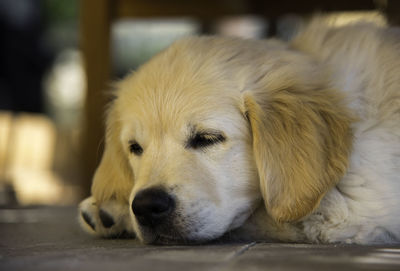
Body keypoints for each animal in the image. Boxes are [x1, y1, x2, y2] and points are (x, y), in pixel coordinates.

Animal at [79, 18, 400, 245]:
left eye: (207, 138)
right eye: (135, 147)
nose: (146, 206)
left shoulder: (355, 211)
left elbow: (261, 215)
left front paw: (115, 211)